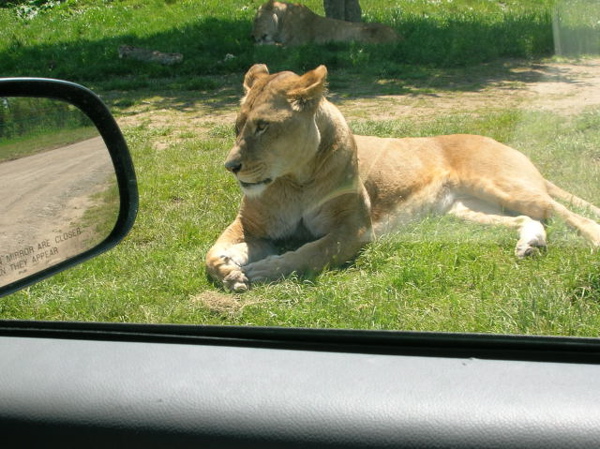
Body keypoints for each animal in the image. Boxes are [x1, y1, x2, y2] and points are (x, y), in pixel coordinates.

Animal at [206, 65, 600, 292]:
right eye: (237, 126)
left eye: (263, 126)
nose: (230, 166)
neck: (295, 179)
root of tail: (501, 142)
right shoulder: (253, 226)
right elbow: (211, 252)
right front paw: (227, 270)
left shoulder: (354, 229)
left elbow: (311, 252)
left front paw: (266, 270)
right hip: (464, 209)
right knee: (528, 219)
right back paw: (531, 244)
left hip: (503, 185)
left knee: (567, 213)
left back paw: (590, 240)